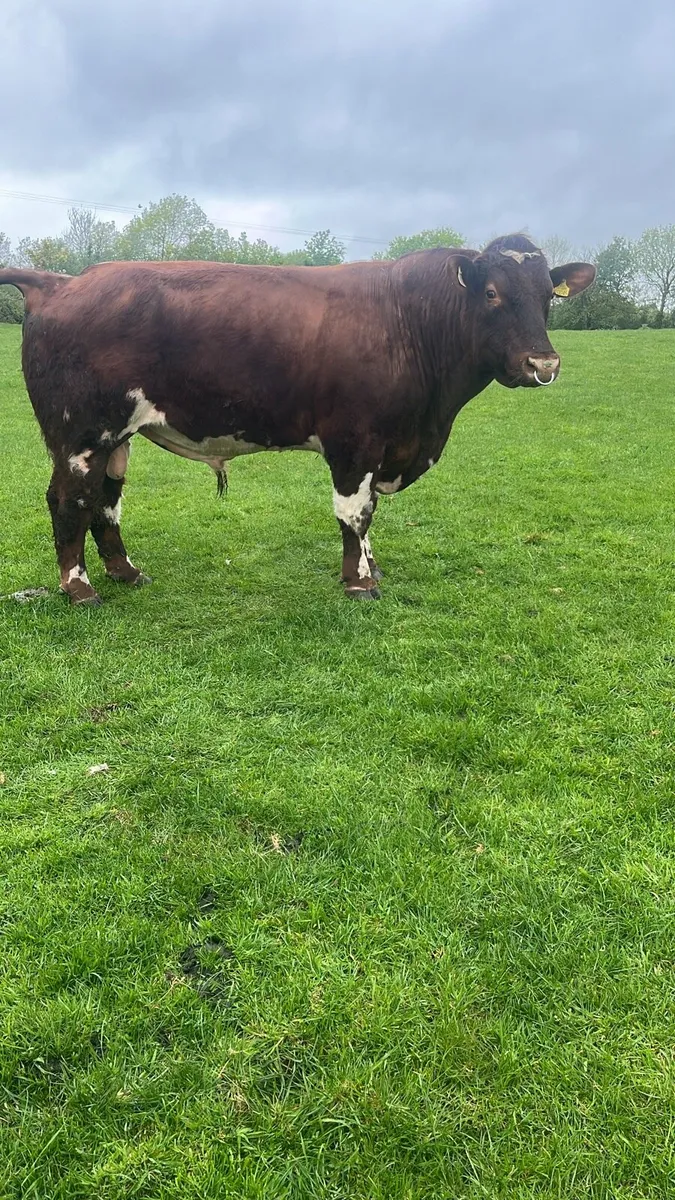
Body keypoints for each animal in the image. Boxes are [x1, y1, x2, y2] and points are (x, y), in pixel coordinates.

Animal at [0, 235, 595, 606]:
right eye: (492, 293)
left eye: (548, 297)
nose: (543, 364)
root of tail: (63, 282)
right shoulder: (355, 440)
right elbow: (355, 513)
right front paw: (359, 583)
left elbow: (370, 513)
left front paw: (371, 568)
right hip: (79, 433)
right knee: (69, 500)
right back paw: (80, 589)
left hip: (116, 438)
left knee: (106, 499)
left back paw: (126, 572)